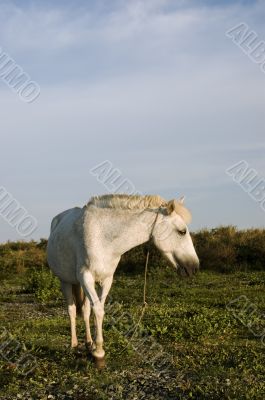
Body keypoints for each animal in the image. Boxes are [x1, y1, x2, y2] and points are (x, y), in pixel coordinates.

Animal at [46, 195, 198, 368]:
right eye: (182, 231)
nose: (194, 267)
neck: (102, 236)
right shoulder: (86, 278)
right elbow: (98, 311)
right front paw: (99, 354)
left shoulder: (106, 280)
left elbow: (97, 311)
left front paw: (95, 348)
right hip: (65, 281)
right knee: (71, 310)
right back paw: (74, 345)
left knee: (84, 310)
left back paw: (89, 343)